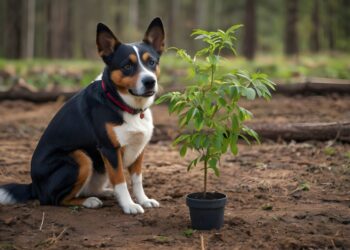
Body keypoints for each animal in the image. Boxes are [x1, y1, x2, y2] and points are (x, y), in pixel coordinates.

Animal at [0, 17, 165, 214]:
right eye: (127, 66)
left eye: (152, 62)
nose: (150, 81)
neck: (123, 103)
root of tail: (34, 186)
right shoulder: (109, 149)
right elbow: (120, 181)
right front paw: (129, 205)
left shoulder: (139, 148)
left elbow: (137, 180)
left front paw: (143, 200)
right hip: (80, 158)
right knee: (55, 199)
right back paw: (90, 201)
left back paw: (104, 192)